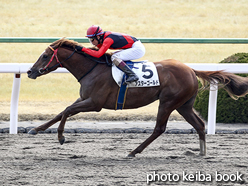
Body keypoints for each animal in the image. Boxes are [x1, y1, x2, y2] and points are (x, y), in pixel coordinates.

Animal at [27, 38, 248, 157]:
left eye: (45, 56)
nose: (30, 71)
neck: (92, 69)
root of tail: (191, 69)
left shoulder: (95, 103)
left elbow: (67, 111)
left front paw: (61, 137)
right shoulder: (84, 99)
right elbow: (62, 112)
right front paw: (36, 129)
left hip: (168, 102)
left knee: (159, 128)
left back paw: (134, 151)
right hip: (183, 105)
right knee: (199, 125)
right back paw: (202, 152)